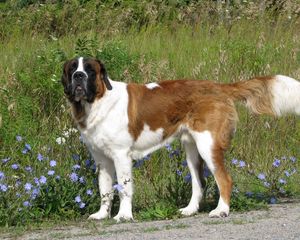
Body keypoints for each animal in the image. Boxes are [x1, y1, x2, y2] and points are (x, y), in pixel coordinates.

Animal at [61, 56, 300, 221]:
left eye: (90, 70)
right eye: (73, 68)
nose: (79, 76)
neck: (97, 102)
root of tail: (218, 86)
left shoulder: (121, 155)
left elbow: (124, 188)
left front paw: (124, 216)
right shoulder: (101, 159)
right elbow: (105, 189)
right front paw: (101, 215)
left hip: (208, 145)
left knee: (224, 179)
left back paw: (221, 210)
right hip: (192, 149)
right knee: (199, 182)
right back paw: (190, 210)